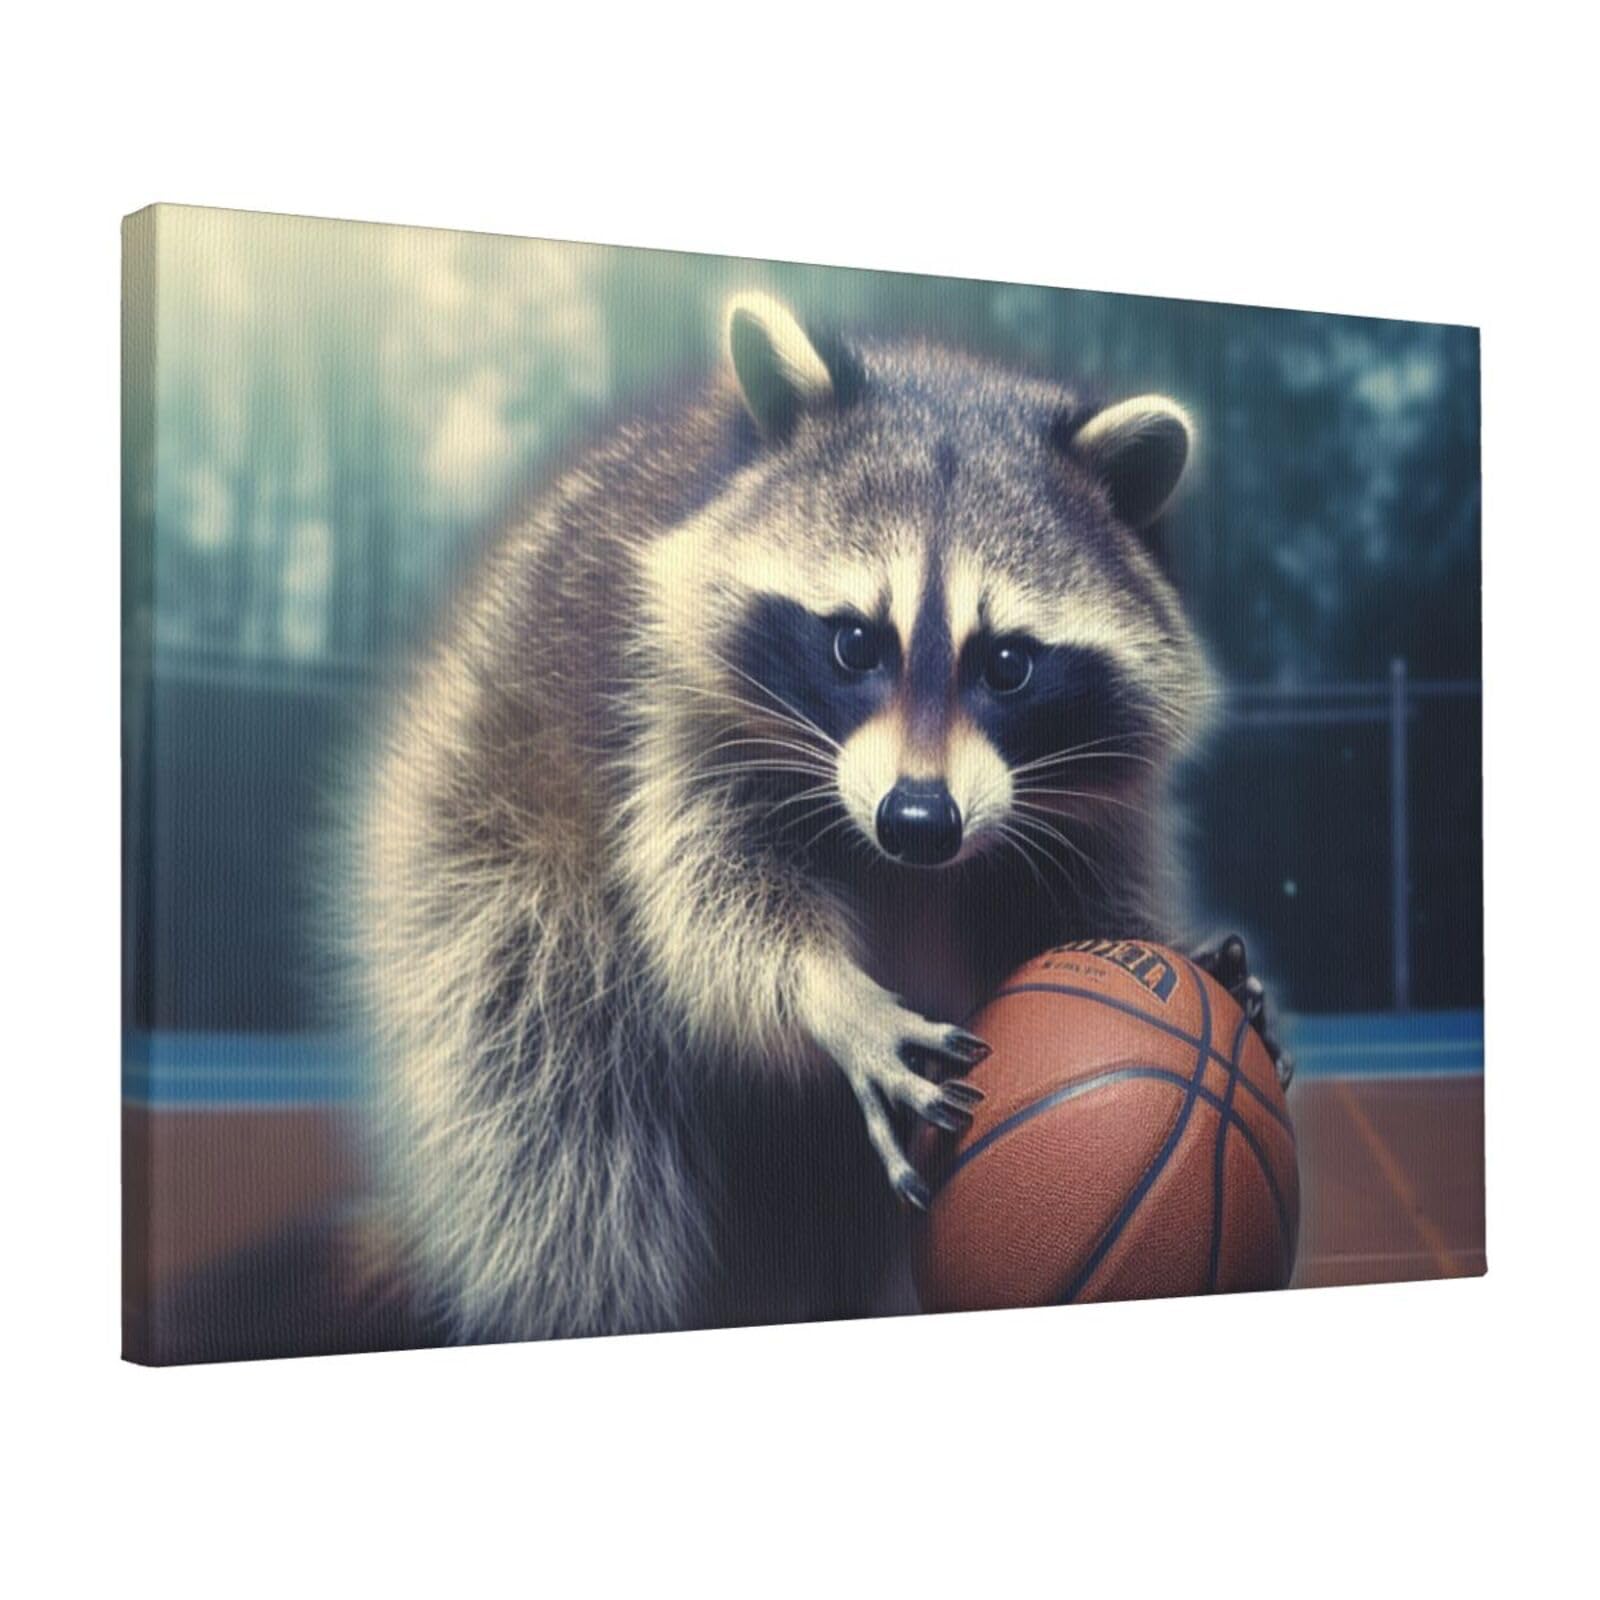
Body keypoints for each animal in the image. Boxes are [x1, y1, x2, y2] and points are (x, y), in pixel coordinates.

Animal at [349, 293, 1283, 1346]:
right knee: (561, 1134)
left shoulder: (1088, 804)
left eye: (1008, 664)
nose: (918, 820)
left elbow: (1078, 899)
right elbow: (709, 896)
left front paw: (1173, 950)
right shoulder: (665, 710)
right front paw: (826, 993)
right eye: (853, 644)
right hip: (490, 868)